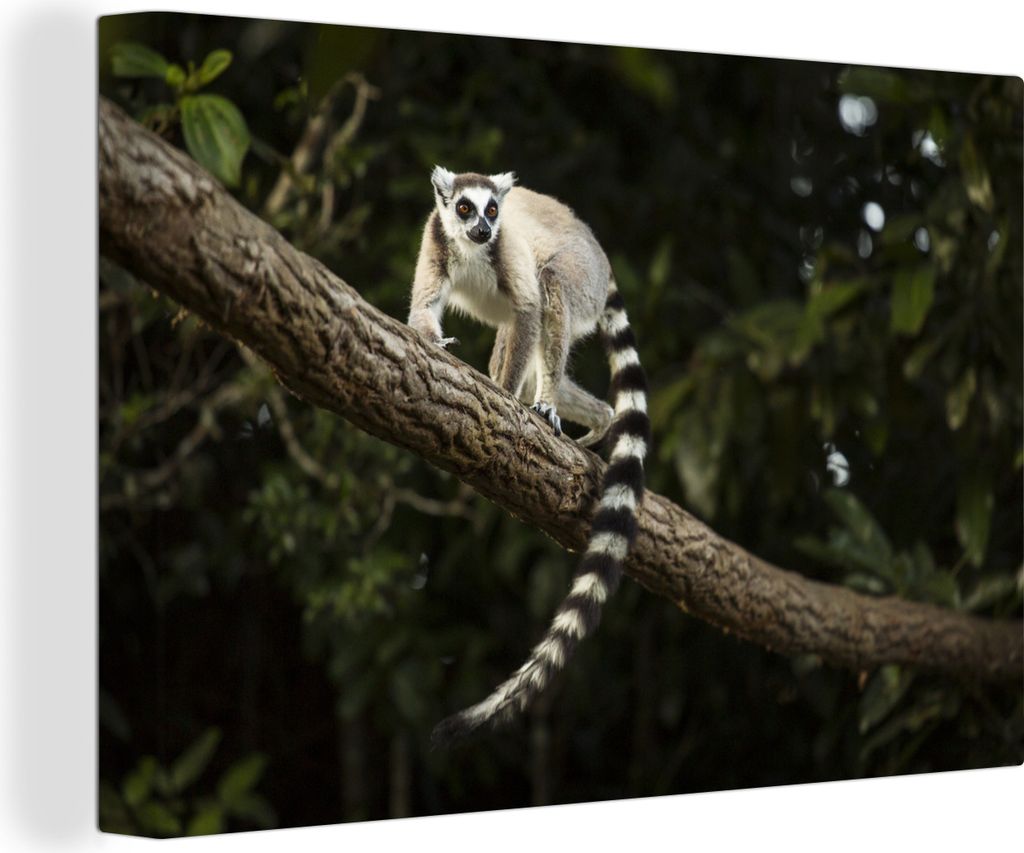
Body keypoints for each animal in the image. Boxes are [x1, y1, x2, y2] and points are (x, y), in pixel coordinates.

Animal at [407, 166, 650, 746]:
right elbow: (422, 308)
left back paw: (542, 404)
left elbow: (530, 307)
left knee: (550, 292)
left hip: (582, 277)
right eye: (465, 209)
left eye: (493, 210)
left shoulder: (510, 257)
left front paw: (505, 401)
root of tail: (599, 252)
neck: (473, 251)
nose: (482, 230)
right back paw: (600, 419)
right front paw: (431, 342)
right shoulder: (435, 241)